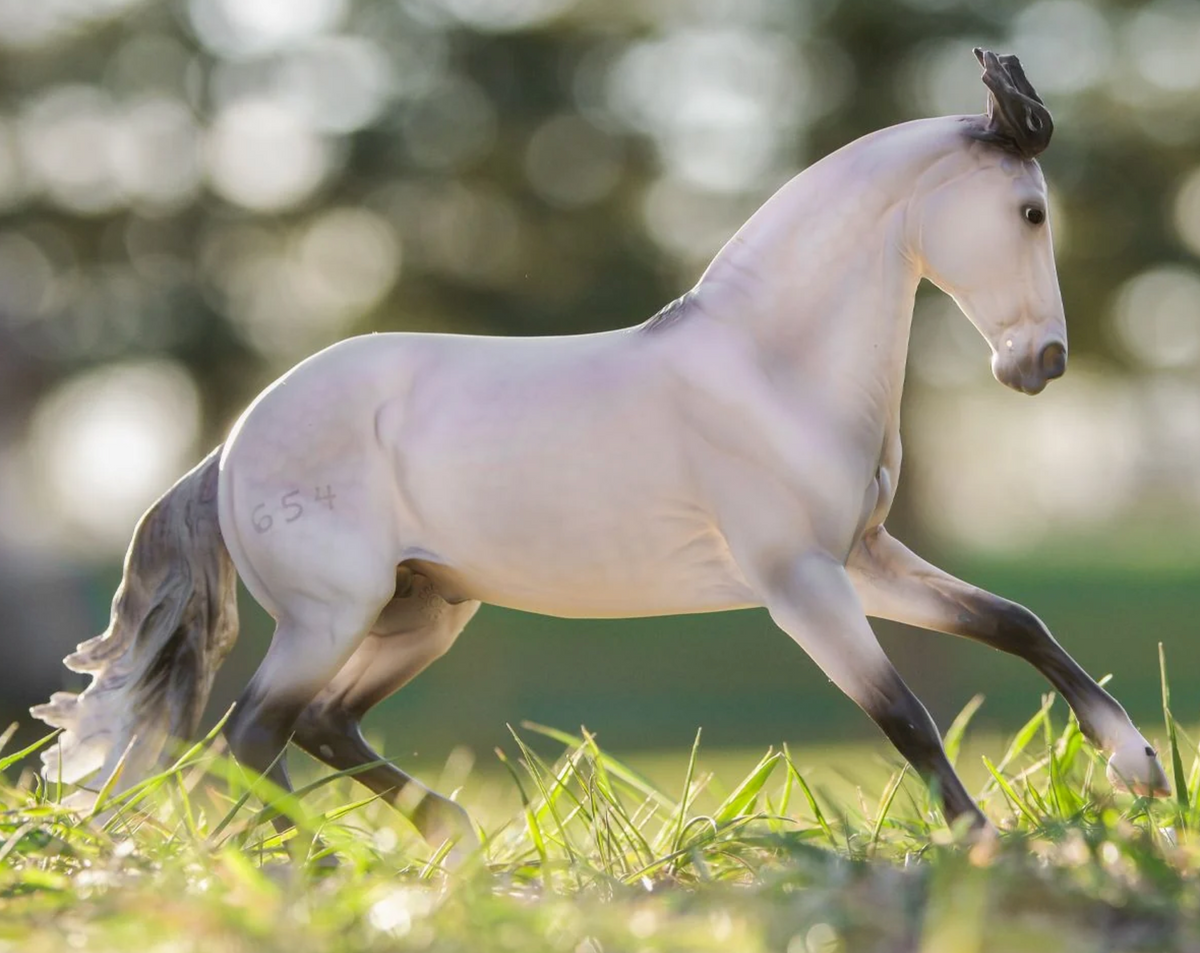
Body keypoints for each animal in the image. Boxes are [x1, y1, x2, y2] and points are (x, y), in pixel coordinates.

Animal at [33, 49, 1168, 845]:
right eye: (1030, 211)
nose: (1041, 363)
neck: (772, 369)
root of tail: (231, 448)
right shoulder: (802, 582)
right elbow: (906, 714)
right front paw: (984, 843)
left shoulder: (863, 560)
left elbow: (1014, 621)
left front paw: (1140, 769)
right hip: (332, 612)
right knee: (253, 731)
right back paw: (316, 862)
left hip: (423, 611)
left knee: (317, 724)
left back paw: (444, 840)